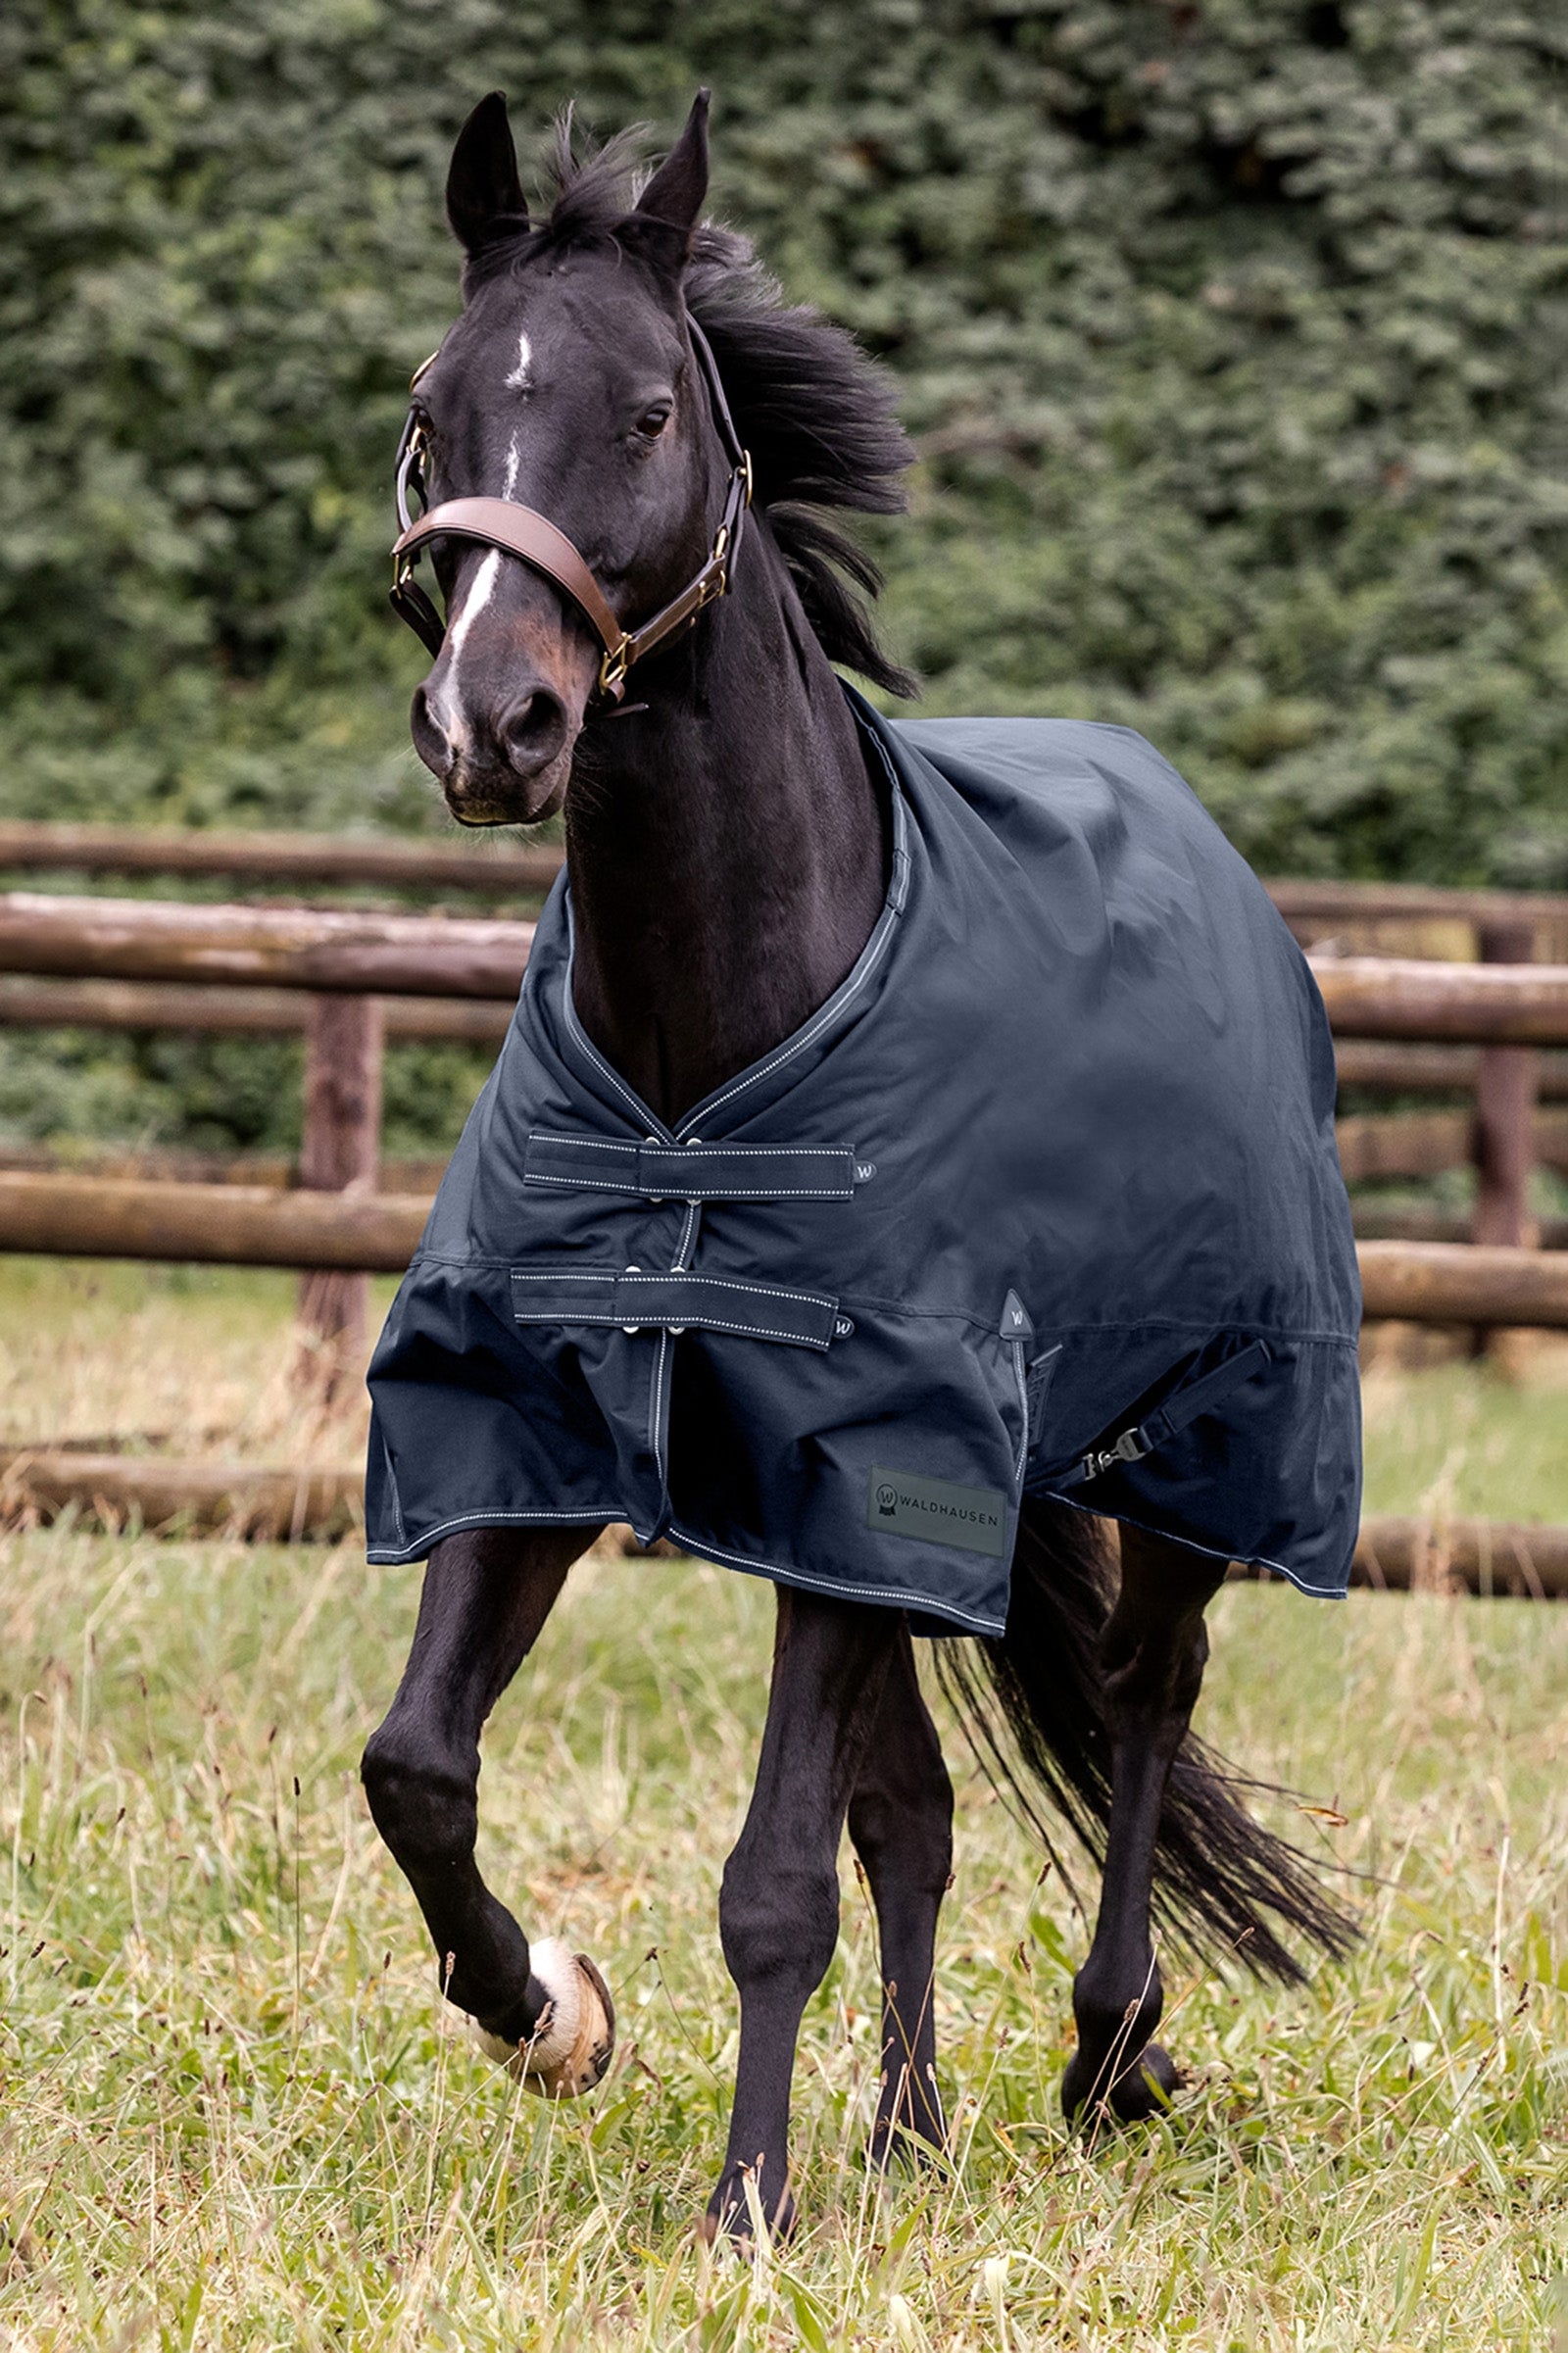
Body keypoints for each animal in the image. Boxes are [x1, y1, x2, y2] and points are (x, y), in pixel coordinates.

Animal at [360, 89, 1359, 2244]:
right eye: (432, 407)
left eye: (650, 410)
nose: (495, 721)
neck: (710, 1050)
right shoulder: (564, 1422)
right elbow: (419, 1765)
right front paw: (551, 2013)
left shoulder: (873, 1450)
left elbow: (768, 1876)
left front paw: (746, 2204)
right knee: (920, 1806)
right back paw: (905, 2124)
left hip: (1190, 1441)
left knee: (1144, 1700)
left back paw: (1105, 2047)